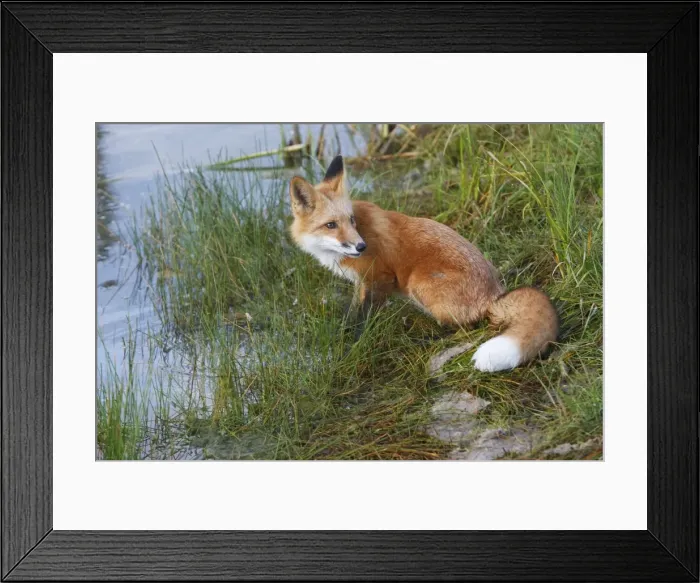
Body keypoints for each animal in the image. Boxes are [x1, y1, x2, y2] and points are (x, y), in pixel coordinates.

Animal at [289, 155, 558, 372]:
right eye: (331, 225)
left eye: (351, 220)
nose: (361, 246)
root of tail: (496, 294)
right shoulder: (361, 282)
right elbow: (352, 313)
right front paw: (343, 336)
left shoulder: (379, 277)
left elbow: (363, 322)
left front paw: (353, 348)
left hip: (419, 284)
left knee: (467, 327)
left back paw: (429, 341)